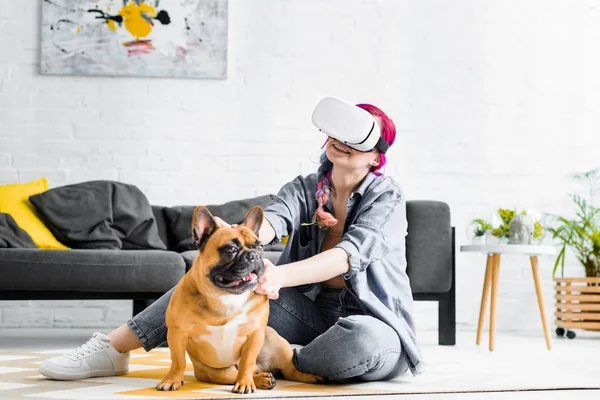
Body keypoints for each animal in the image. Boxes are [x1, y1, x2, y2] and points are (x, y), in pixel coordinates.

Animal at [155, 206, 324, 394]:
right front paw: (172, 380)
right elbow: (178, 360)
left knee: (288, 370)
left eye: (260, 247)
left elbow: (246, 361)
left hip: (274, 340)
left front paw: (244, 383)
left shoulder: (255, 334)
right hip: (217, 373)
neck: (226, 297)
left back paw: (308, 377)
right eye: (231, 249)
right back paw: (263, 379)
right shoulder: (177, 333)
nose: (254, 255)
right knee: (237, 374)